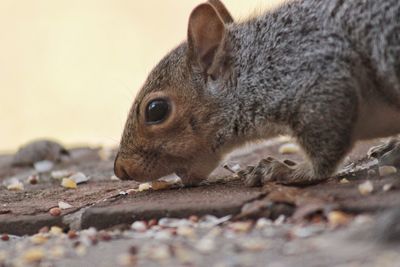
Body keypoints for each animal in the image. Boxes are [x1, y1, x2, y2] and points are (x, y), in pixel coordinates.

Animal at [112, 0, 400, 187]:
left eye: (156, 110)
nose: (120, 169)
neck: (257, 67)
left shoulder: (317, 79)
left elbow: (325, 152)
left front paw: (287, 170)